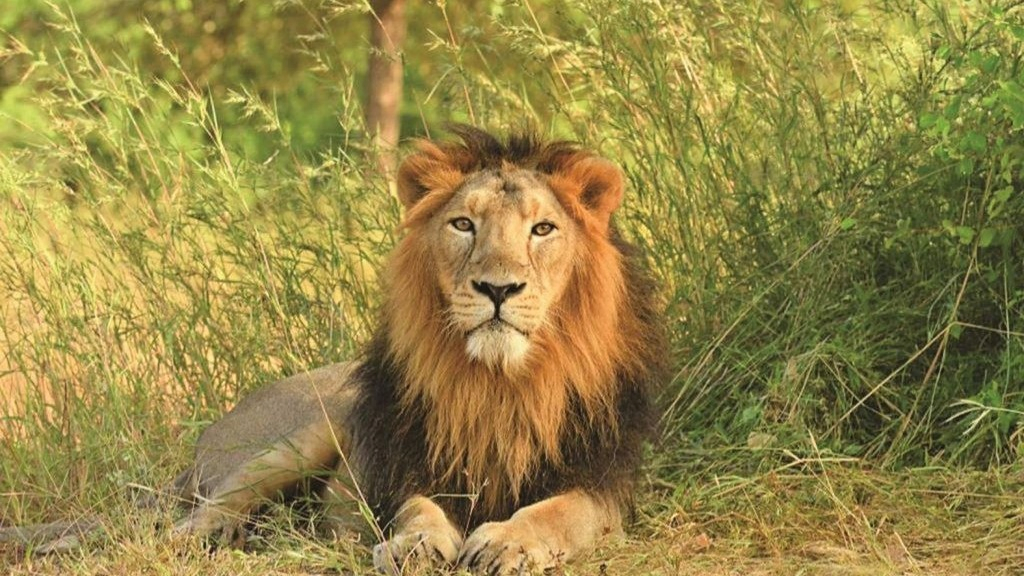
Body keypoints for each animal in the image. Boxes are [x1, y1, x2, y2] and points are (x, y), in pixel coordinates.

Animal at [171, 126, 668, 574]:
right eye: (463, 224)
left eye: (543, 229)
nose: (498, 288)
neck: (499, 383)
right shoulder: (408, 466)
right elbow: (418, 508)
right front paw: (416, 544)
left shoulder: (602, 484)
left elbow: (558, 512)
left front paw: (507, 543)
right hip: (303, 434)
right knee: (216, 502)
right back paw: (205, 534)